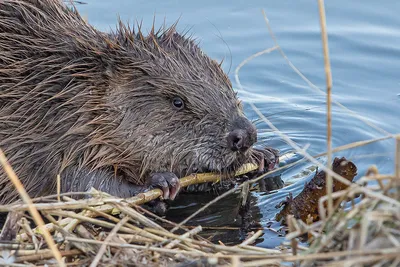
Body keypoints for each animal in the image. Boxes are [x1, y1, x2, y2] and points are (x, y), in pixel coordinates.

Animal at [0, 0, 278, 205]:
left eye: (227, 85)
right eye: (177, 102)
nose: (245, 135)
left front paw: (265, 156)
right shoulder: (40, 136)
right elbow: (72, 182)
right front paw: (159, 182)